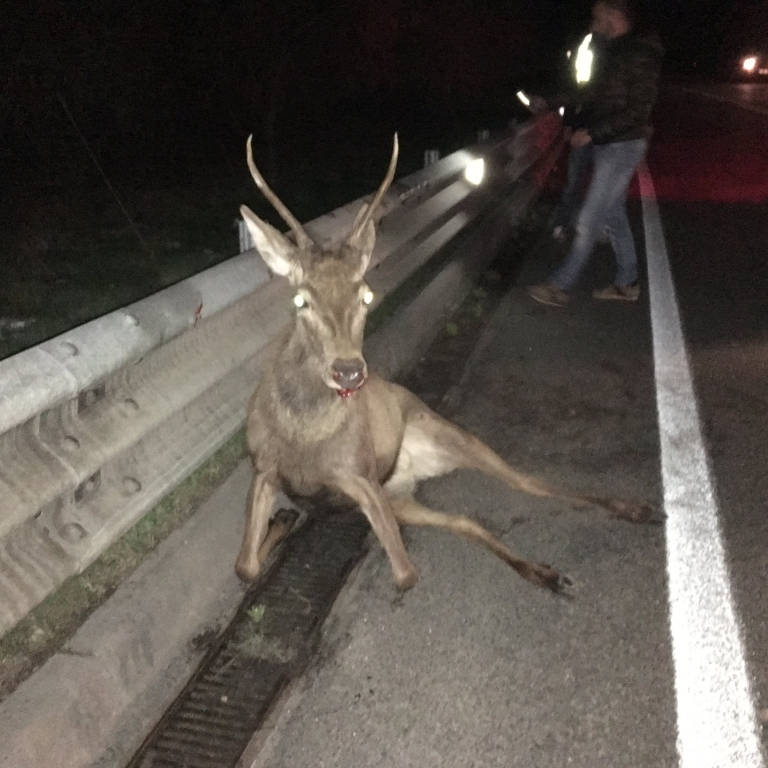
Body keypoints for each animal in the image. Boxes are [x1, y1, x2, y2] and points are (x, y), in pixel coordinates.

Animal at [236, 134, 656, 592]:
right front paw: (279, 523)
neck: (302, 436)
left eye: (367, 295)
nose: (348, 371)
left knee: (529, 482)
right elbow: (245, 567)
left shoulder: (360, 475)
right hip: (401, 499)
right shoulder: (265, 468)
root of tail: (416, 470)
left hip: (451, 435)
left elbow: (406, 575)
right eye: (301, 300)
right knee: (465, 520)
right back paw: (543, 571)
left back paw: (634, 510)